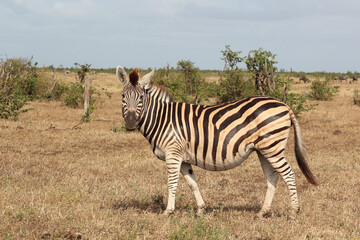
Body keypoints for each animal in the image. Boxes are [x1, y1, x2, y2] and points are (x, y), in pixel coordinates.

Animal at [116, 66, 316, 220]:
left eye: (141, 98)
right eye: (123, 96)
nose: (131, 123)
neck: (162, 119)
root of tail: (285, 105)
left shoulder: (173, 154)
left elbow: (172, 183)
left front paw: (168, 211)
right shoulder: (184, 158)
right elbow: (192, 183)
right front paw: (201, 210)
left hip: (272, 147)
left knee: (288, 174)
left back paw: (293, 213)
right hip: (263, 149)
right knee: (272, 177)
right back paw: (262, 212)